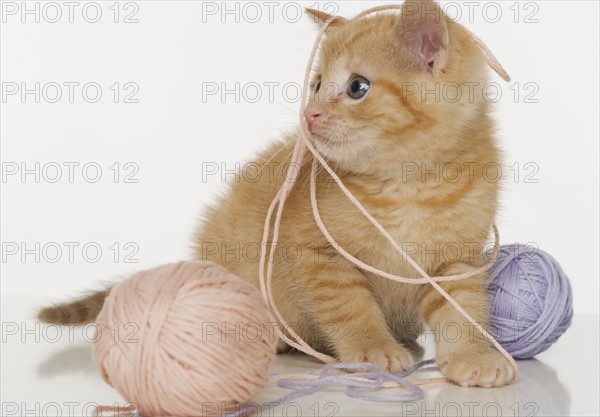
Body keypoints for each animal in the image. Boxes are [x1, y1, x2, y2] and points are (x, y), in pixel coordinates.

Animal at [37, 0, 516, 386]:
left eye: (357, 87)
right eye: (316, 84)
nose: (310, 114)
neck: (408, 183)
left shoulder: (457, 258)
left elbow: (463, 307)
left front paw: (472, 356)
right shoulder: (312, 250)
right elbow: (349, 307)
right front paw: (371, 349)